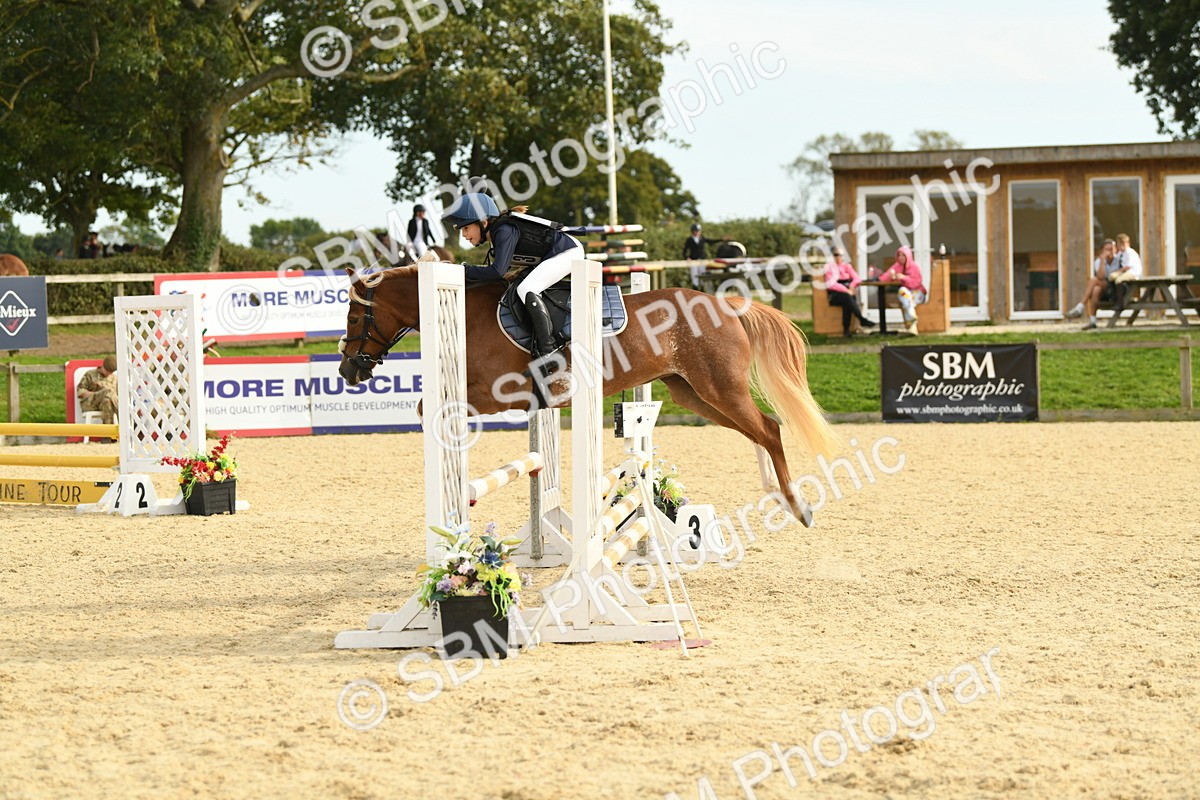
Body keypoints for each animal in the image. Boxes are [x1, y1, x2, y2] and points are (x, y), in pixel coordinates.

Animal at [337, 261, 837, 526]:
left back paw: (798, 507)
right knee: (757, 430)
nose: (346, 370)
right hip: (693, 393)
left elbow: (430, 407)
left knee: (768, 428)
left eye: (353, 317)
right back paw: (776, 494)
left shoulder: (501, 394)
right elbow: (430, 405)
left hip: (718, 387)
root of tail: (727, 304)